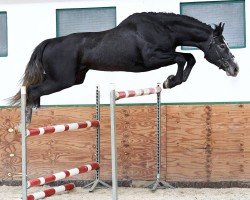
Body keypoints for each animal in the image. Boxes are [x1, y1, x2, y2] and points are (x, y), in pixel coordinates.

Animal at [9, 12, 239, 122]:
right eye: (221, 45)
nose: (235, 68)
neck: (162, 28)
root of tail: (49, 42)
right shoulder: (152, 59)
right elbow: (184, 58)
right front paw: (170, 81)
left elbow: (189, 58)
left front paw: (171, 81)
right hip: (61, 80)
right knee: (32, 90)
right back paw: (27, 120)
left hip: (74, 79)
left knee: (33, 91)